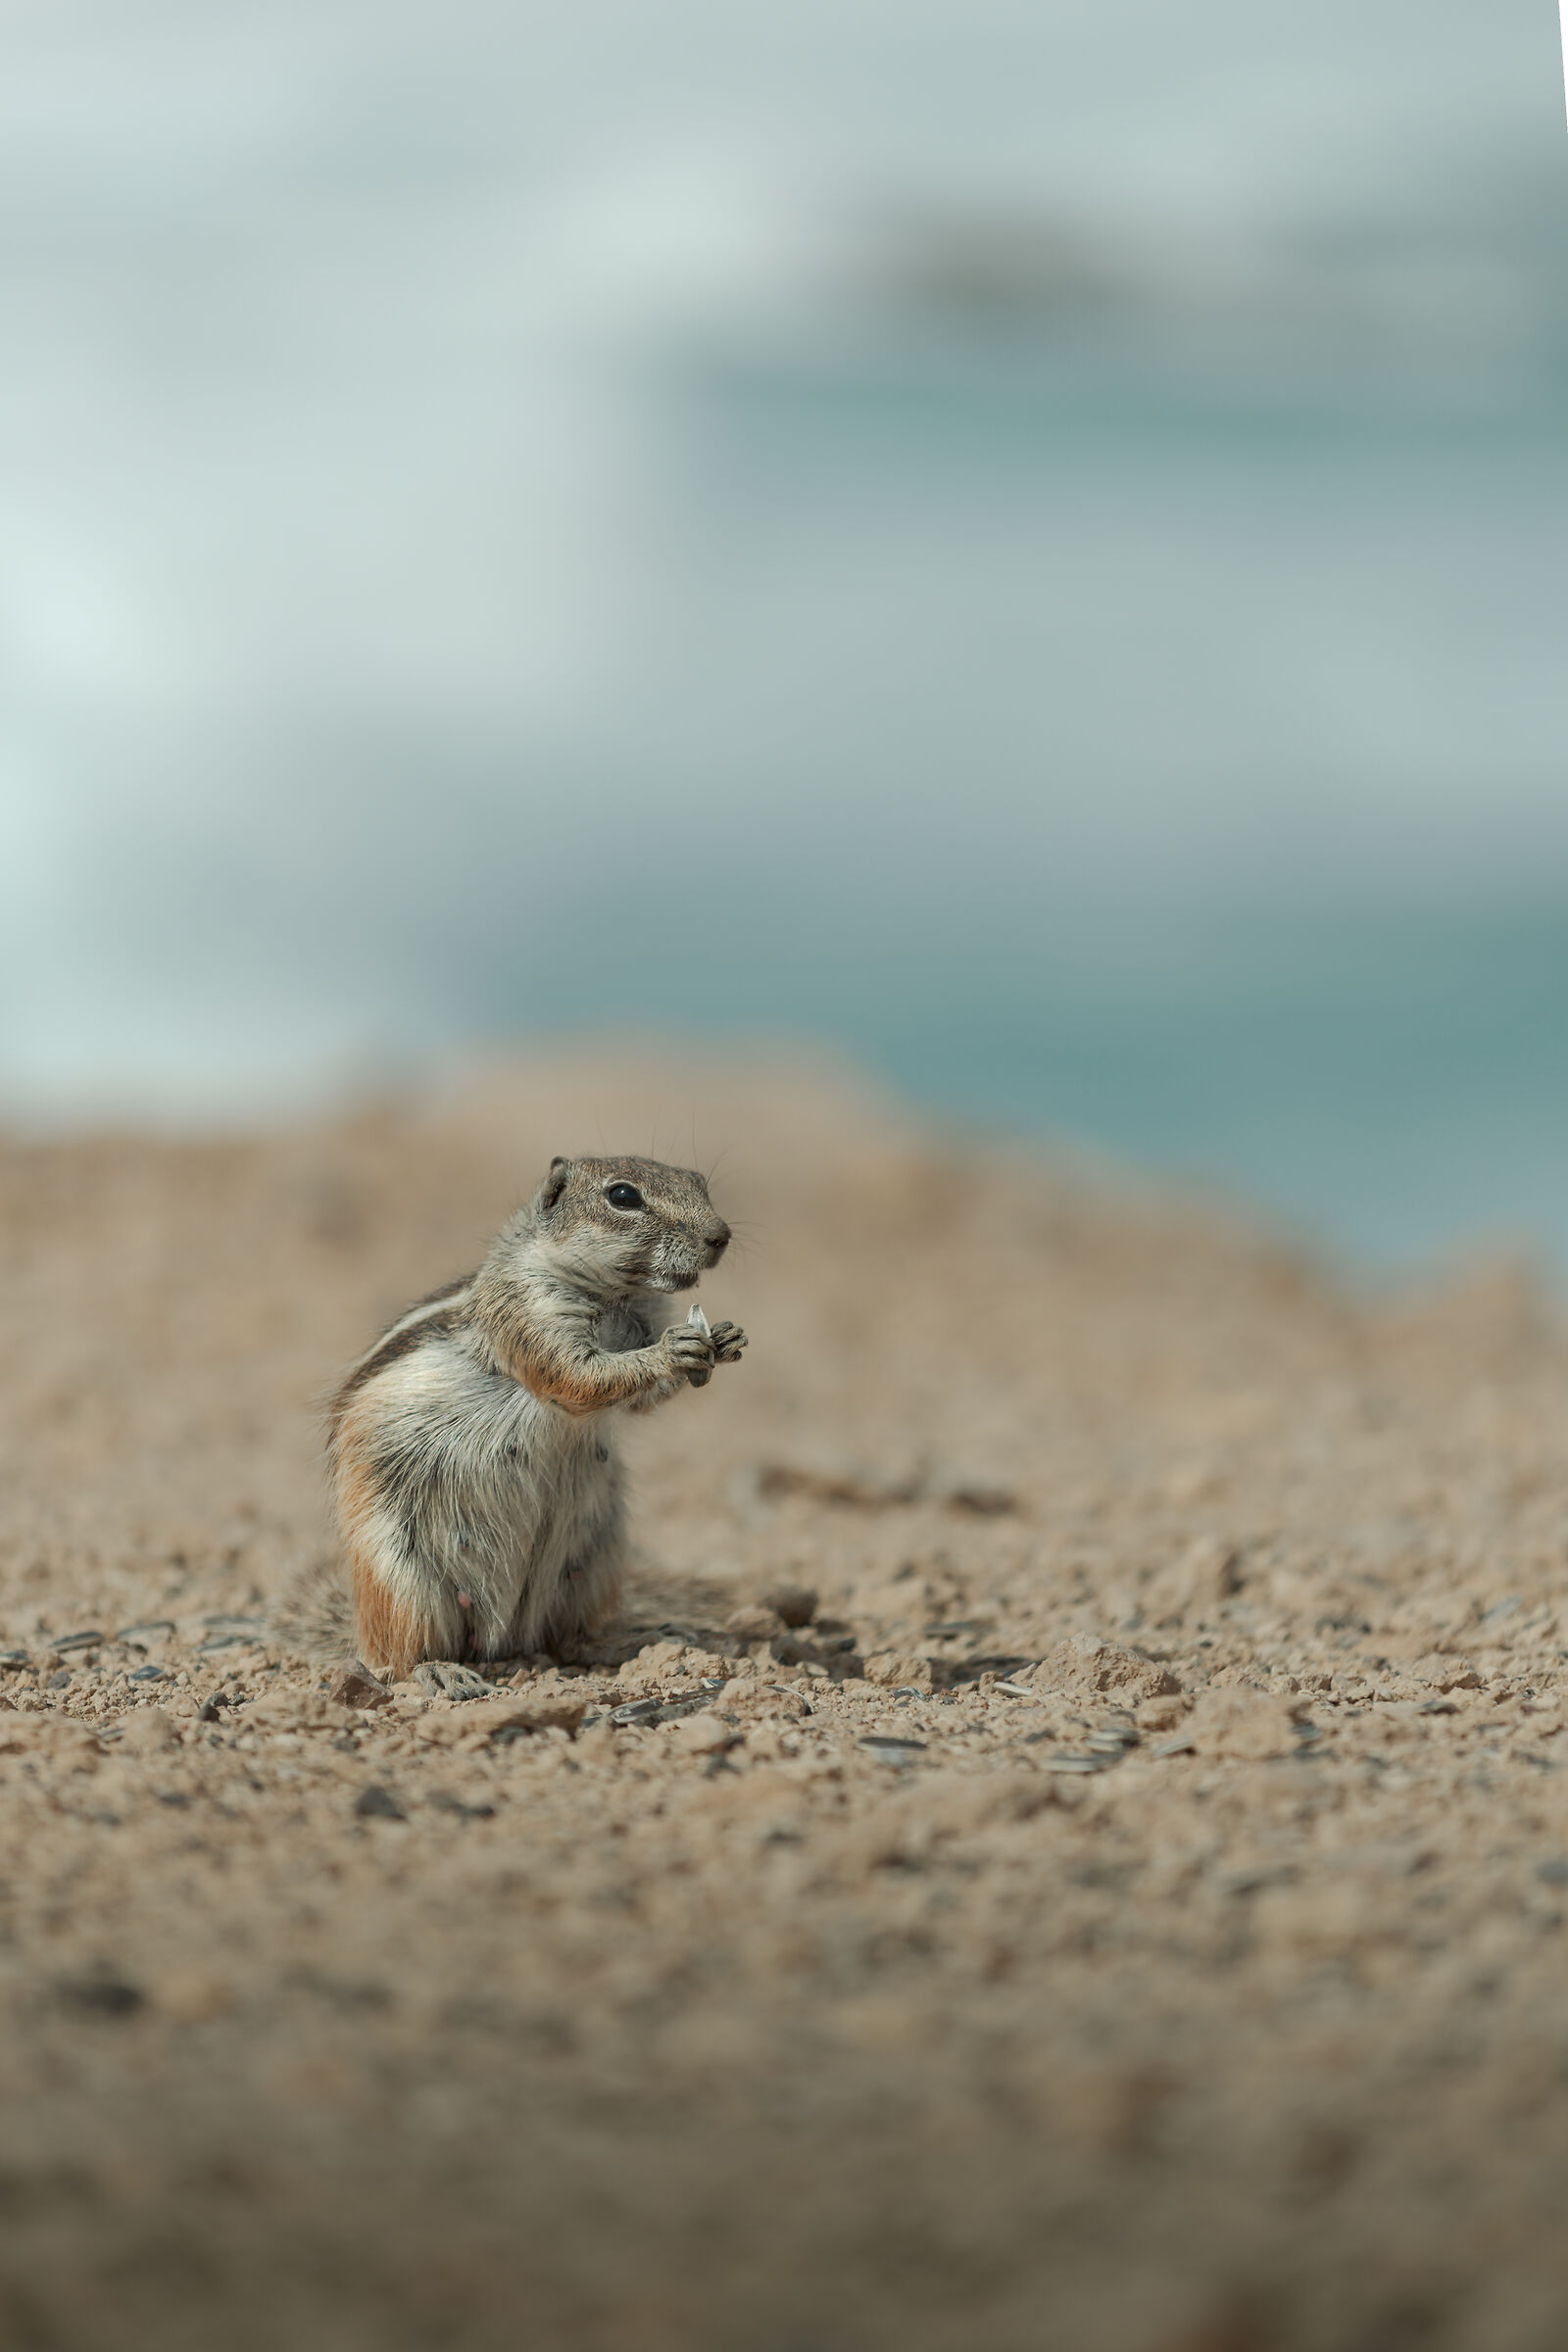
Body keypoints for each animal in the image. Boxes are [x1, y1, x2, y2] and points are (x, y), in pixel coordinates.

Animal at [317, 1155, 746, 1694]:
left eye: (698, 1181)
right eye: (623, 1196)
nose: (720, 1236)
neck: (618, 1296)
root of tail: (503, 1639)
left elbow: (637, 1400)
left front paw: (725, 1338)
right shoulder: (528, 1312)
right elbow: (579, 1376)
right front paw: (672, 1349)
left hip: (594, 1563)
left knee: (568, 1640)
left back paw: (629, 1641)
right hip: (402, 1583)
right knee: (397, 1658)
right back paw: (442, 1671)